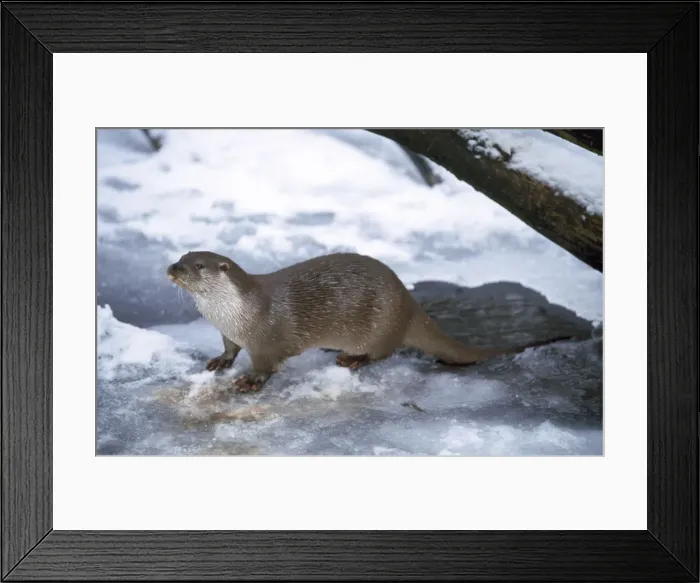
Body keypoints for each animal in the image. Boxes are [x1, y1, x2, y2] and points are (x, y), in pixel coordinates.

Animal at [168, 251, 575, 392]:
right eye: (182, 257)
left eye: (198, 266)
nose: (172, 268)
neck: (235, 312)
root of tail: (409, 303)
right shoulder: (230, 332)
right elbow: (229, 349)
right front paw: (221, 361)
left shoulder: (266, 337)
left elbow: (267, 365)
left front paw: (250, 380)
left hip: (381, 323)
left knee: (383, 353)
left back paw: (351, 359)